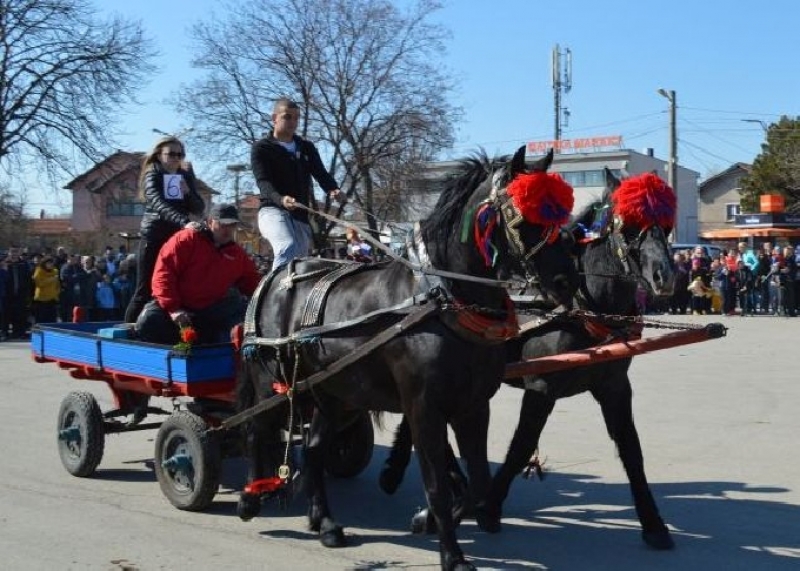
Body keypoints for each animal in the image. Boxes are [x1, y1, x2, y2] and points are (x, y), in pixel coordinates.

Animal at [234, 145, 580, 568]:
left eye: (561, 217)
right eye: (522, 214)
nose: (567, 281)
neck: (442, 301)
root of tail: (274, 276)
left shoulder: (473, 405)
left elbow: (478, 479)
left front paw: (445, 518)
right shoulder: (423, 408)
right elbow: (437, 484)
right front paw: (451, 552)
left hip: (337, 395)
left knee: (314, 449)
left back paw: (326, 522)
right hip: (272, 381)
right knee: (257, 429)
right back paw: (252, 496)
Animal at [380, 169, 676, 548]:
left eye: (665, 225)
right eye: (630, 224)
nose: (664, 276)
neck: (582, 306)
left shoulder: (614, 388)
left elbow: (631, 450)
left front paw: (653, 524)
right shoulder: (541, 387)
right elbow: (521, 445)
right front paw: (488, 507)